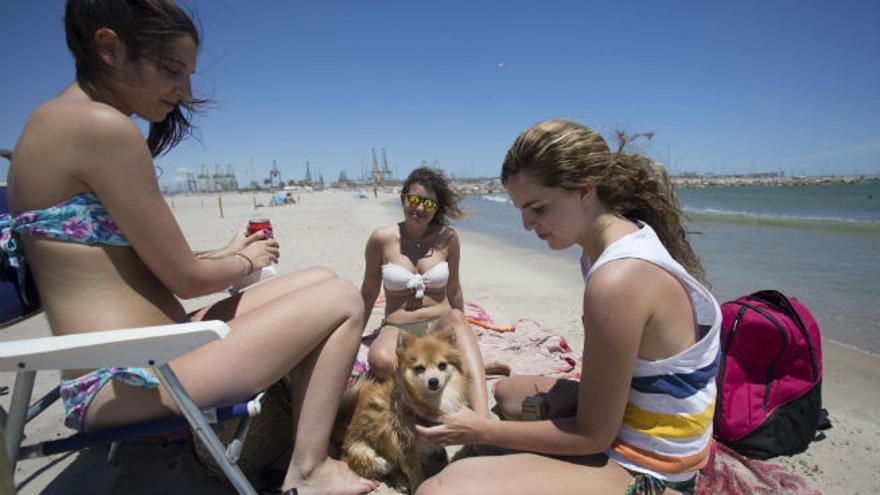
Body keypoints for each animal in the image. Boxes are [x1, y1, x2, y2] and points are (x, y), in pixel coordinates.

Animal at [336, 328, 474, 494]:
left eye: (442, 366)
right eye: (419, 368)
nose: (433, 381)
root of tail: (345, 428)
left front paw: (442, 456)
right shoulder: (407, 450)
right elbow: (417, 478)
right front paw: (418, 486)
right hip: (374, 458)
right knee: (390, 468)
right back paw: (401, 482)